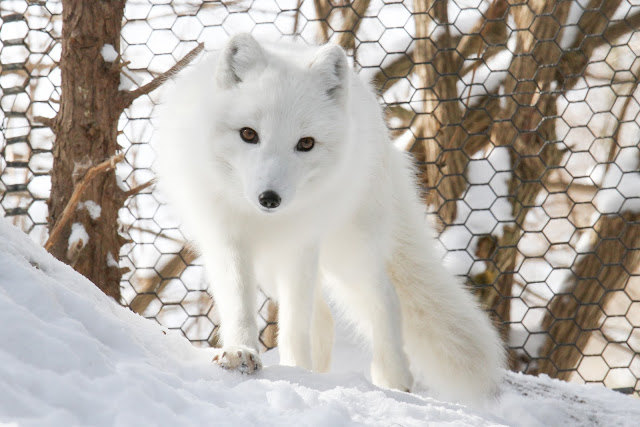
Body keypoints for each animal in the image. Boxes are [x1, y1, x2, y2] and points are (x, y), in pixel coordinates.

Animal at [155, 34, 504, 404]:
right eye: (248, 134)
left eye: (306, 143)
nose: (269, 198)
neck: (266, 220)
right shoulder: (228, 239)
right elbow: (240, 305)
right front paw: (241, 354)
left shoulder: (302, 244)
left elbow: (296, 325)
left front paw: (295, 372)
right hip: (272, 268)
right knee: (324, 318)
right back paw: (319, 371)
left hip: (348, 251)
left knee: (384, 296)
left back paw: (392, 378)